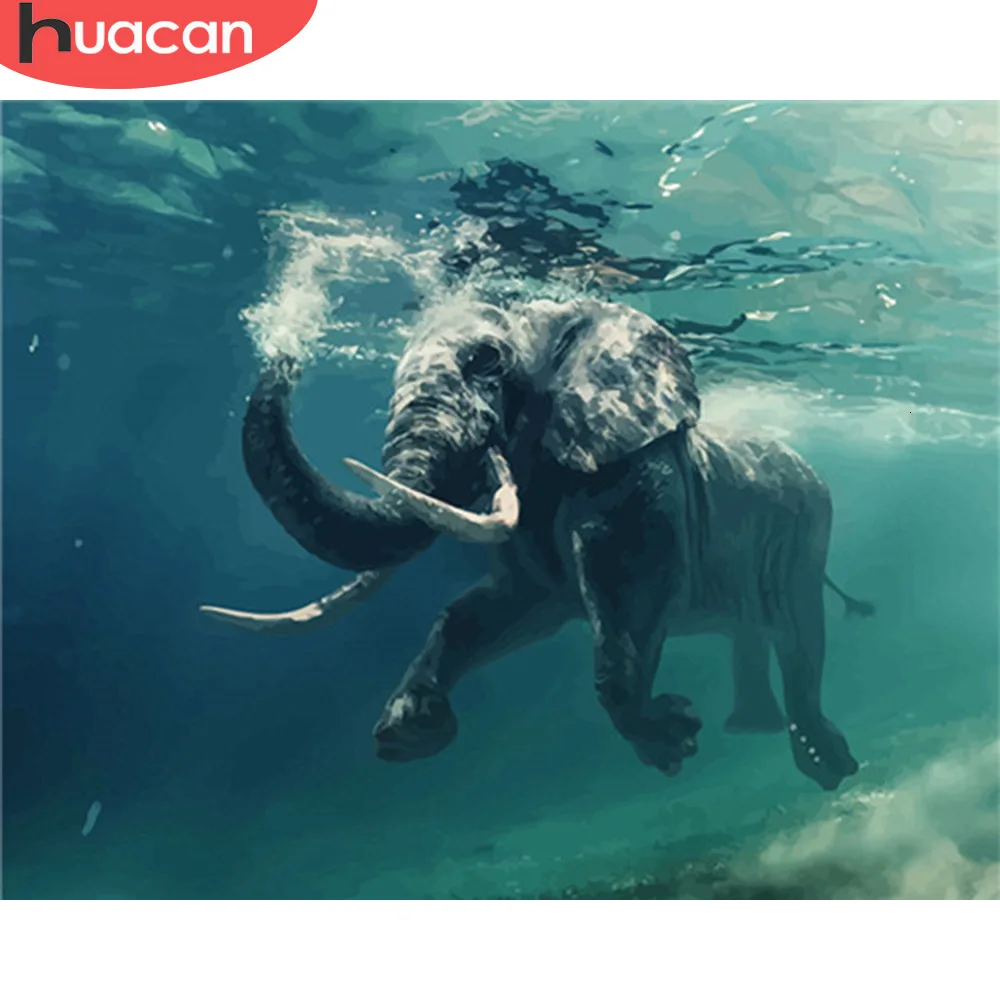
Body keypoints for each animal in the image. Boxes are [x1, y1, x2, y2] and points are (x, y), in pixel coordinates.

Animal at [202, 297, 874, 791]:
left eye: (486, 360)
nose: (283, 352)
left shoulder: (638, 473)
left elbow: (630, 596)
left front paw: (672, 739)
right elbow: (493, 609)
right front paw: (409, 731)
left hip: (808, 532)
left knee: (800, 636)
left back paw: (827, 767)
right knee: (755, 632)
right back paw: (753, 732)